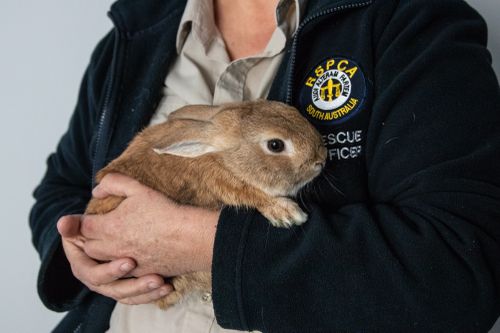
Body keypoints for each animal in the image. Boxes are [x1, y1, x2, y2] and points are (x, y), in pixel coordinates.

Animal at [85, 99, 328, 308]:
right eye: (275, 145)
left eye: (291, 110)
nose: (322, 158)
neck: (225, 161)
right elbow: (253, 196)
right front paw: (288, 214)